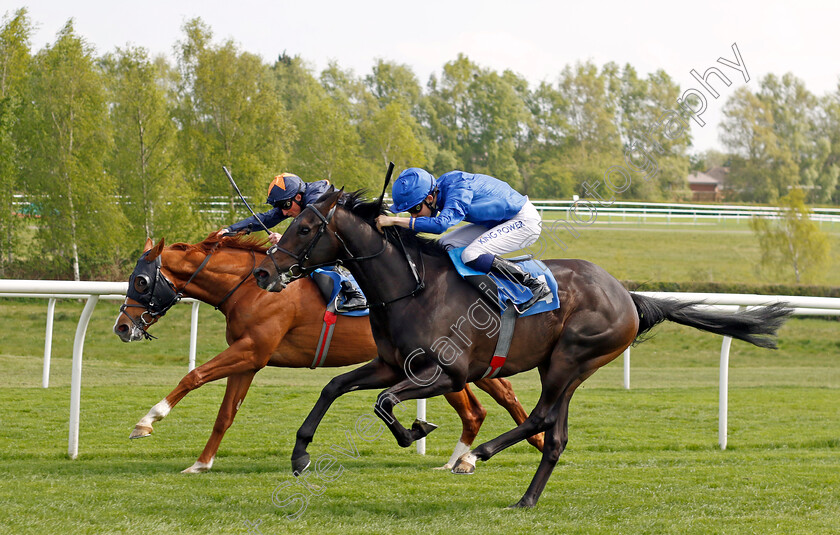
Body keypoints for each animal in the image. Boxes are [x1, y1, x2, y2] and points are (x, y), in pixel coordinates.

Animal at [111, 234, 544, 474]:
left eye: (141, 281)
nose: (122, 327)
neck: (249, 285)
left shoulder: (251, 350)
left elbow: (194, 375)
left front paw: (147, 420)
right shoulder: (250, 359)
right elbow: (225, 415)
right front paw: (201, 462)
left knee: (485, 406)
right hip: (461, 366)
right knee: (488, 402)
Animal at [253, 191, 792, 508]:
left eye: (305, 228)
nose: (262, 272)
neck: (414, 288)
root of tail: (627, 295)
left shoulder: (448, 374)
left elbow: (383, 402)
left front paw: (415, 431)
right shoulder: (391, 363)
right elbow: (334, 386)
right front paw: (300, 455)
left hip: (570, 357)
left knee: (539, 417)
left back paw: (477, 456)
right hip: (571, 366)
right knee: (555, 434)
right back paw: (526, 499)